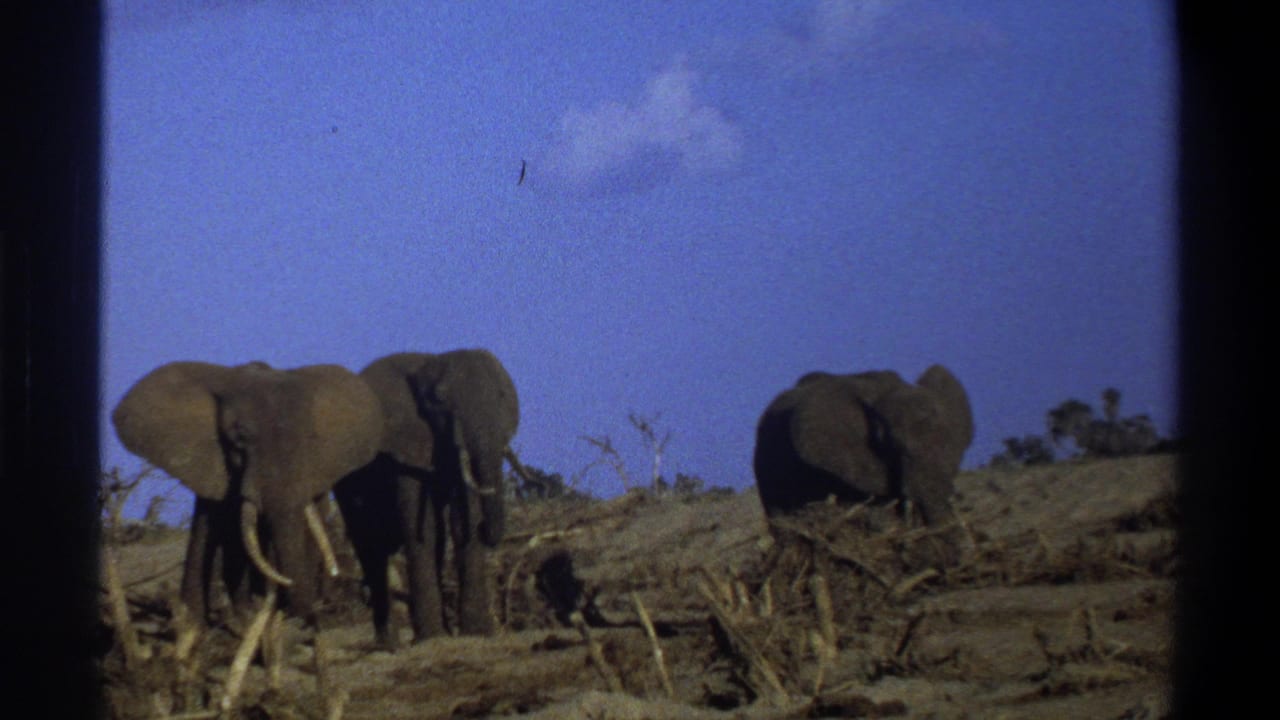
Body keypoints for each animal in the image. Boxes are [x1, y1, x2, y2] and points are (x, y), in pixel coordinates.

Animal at [333, 349, 519, 650]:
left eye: (502, 395)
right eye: (440, 400)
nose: (488, 532)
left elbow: (461, 521)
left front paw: (478, 632)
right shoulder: (404, 444)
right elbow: (424, 528)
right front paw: (432, 638)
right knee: (369, 544)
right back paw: (388, 644)